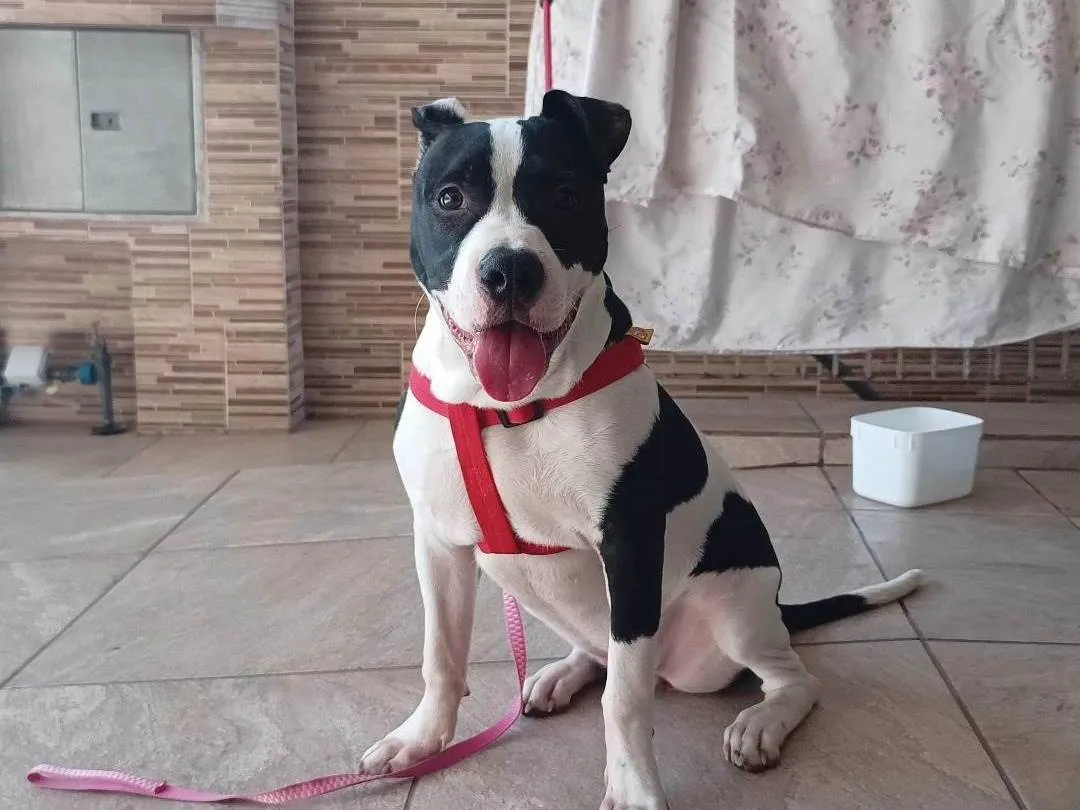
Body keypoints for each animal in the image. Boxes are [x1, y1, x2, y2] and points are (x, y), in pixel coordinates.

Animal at [360, 89, 923, 810]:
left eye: (565, 195)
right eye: (450, 197)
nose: (509, 269)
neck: (508, 408)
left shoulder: (628, 547)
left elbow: (624, 700)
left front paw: (631, 788)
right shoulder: (437, 544)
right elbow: (441, 653)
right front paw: (423, 737)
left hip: (734, 612)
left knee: (790, 677)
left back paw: (762, 723)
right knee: (602, 653)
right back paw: (564, 673)